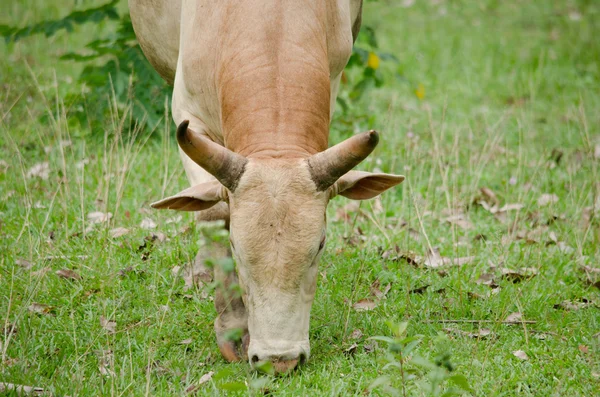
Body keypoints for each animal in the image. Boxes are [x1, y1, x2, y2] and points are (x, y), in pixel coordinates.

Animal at [129, 0, 406, 372]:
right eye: (235, 247)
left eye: (320, 246)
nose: (278, 360)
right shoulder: (188, 113)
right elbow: (213, 214)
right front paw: (233, 328)